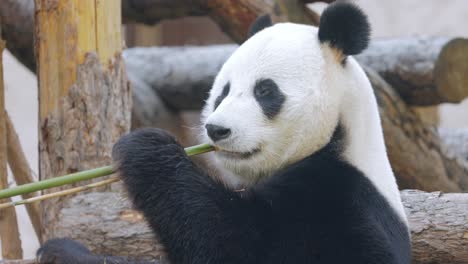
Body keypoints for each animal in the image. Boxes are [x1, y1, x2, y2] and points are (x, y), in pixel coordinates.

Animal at [37, 2, 410, 264]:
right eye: (223, 92)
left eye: (265, 91)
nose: (217, 129)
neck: (338, 138)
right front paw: (57, 249)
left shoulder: (336, 205)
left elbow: (230, 241)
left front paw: (144, 147)